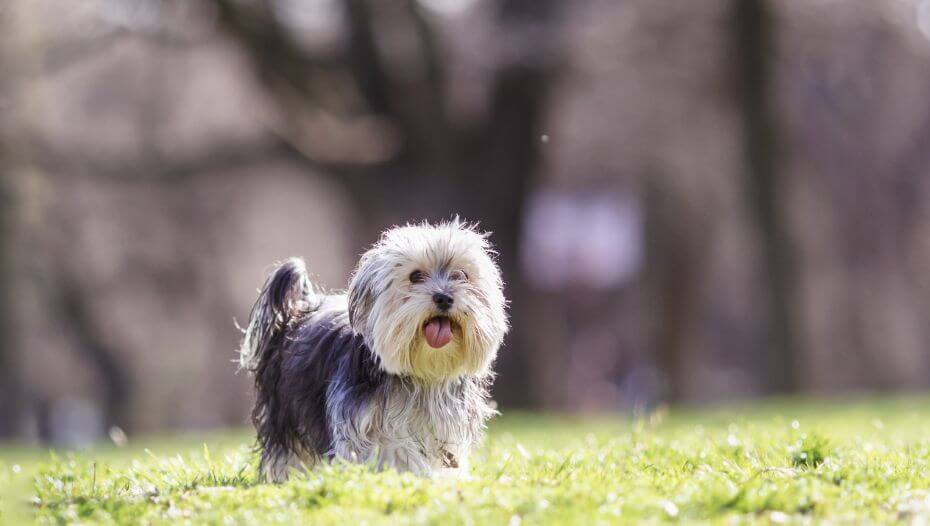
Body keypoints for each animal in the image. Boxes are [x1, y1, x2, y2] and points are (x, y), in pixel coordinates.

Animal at [236, 219, 504, 482]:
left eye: (462, 275)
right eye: (415, 276)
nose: (444, 298)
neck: (423, 376)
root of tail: (298, 310)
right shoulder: (364, 423)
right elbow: (394, 450)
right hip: (285, 410)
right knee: (287, 448)